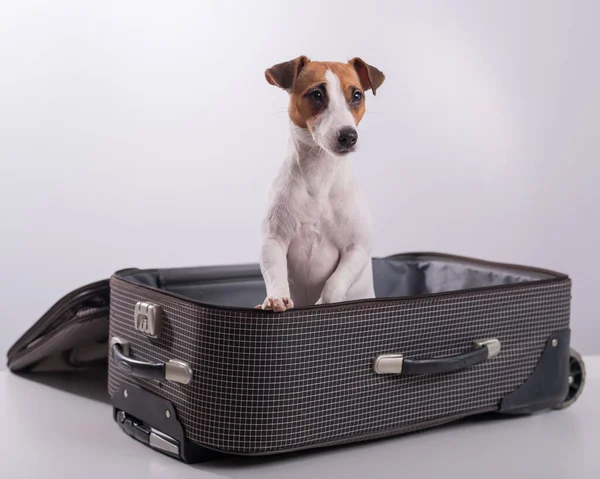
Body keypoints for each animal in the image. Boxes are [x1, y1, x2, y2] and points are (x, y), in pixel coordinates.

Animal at [258, 56, 384, 314]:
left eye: (357, 95)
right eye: (316, 94)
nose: (348, 136)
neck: (319, 173)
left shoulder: (357, 249)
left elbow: (335, 281)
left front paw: (325, 303)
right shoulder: (273, 240)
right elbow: (275, 272)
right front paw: (277, 297)